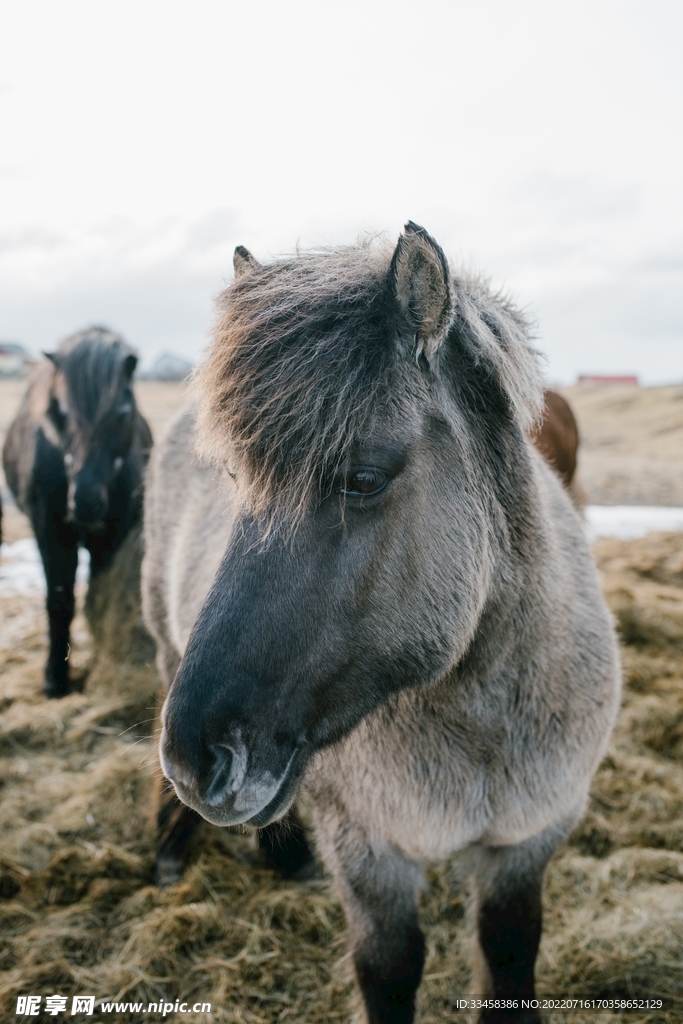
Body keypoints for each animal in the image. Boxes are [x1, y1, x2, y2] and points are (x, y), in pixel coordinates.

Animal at [143, 226, 618, 1024]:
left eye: (362, 479)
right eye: (237, 481)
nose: (195, 760)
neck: (479, 727)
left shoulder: (527, 844)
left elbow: (509, 955)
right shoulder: (370, 856)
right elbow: (387, 971)